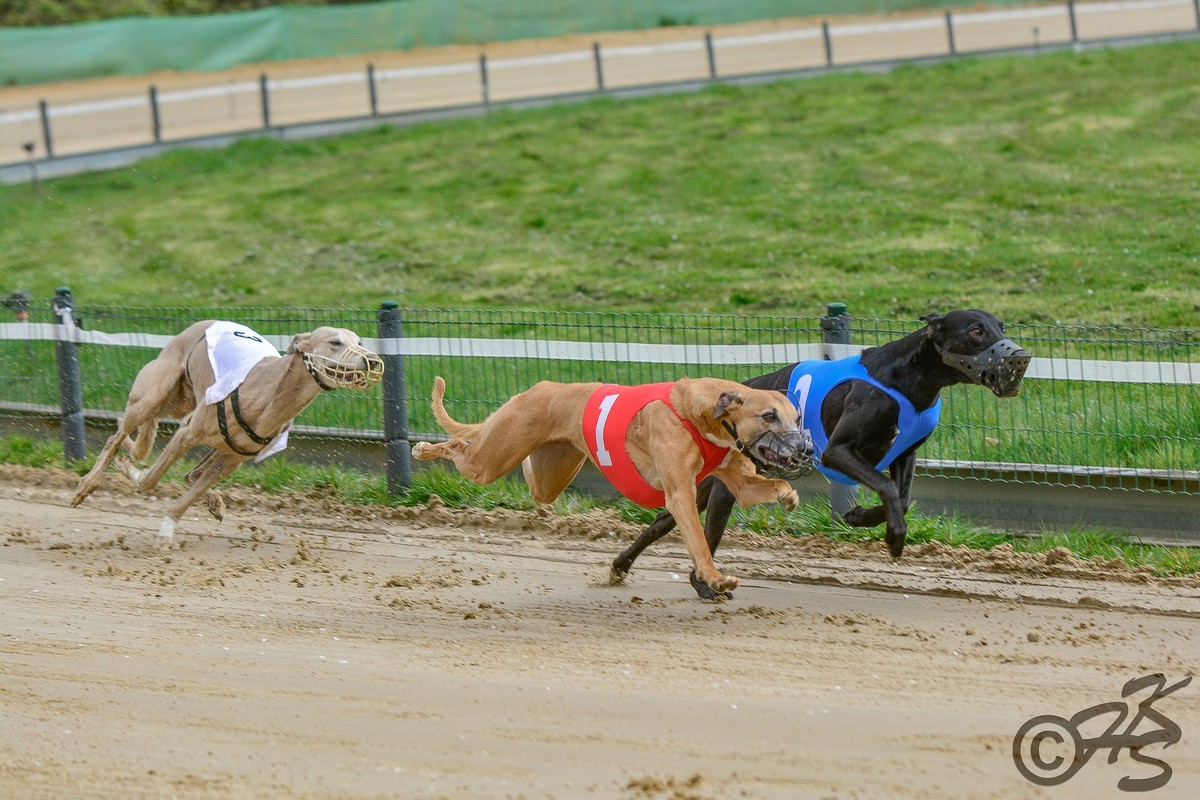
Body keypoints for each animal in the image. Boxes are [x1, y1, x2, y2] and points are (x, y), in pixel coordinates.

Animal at [71, 320, 383, 548]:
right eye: (335, 342)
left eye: (359, 343)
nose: (372, 360)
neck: (269, 391)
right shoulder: (187, 431)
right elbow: (149, 480)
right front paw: (129, 471)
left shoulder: (233, 461)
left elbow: (190, 491)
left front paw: (168, 529)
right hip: (151, 398)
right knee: (115, 437)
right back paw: (87, 484)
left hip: (204, 428)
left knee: (192, 474)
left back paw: (213, 501)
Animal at [412, 376, 814, 594]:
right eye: (768, 415)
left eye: (796, 416)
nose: (805, 449)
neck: (698, 413)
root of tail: (534, 390)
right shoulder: (679, 494)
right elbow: (698, 540)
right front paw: (715, 579)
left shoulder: (735, 480)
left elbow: (763, 486)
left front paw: (788, 496)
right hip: (489, 462)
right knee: (461, 448)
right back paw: (425, 448)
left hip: (547, 473)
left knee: (526, 475)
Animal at [613, 310, 1032, 599]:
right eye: (975, 330)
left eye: (1001, 327)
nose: (1021, 355)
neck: (909, 379)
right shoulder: (837, 452)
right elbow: (887, 488)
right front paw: (893, 536)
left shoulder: (905, 453)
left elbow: (901, 496)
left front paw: (864, 517)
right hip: (722, 492)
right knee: (702, 534)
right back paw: (703, 586)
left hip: (705, 485)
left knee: (664, 520)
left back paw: (621, 566)